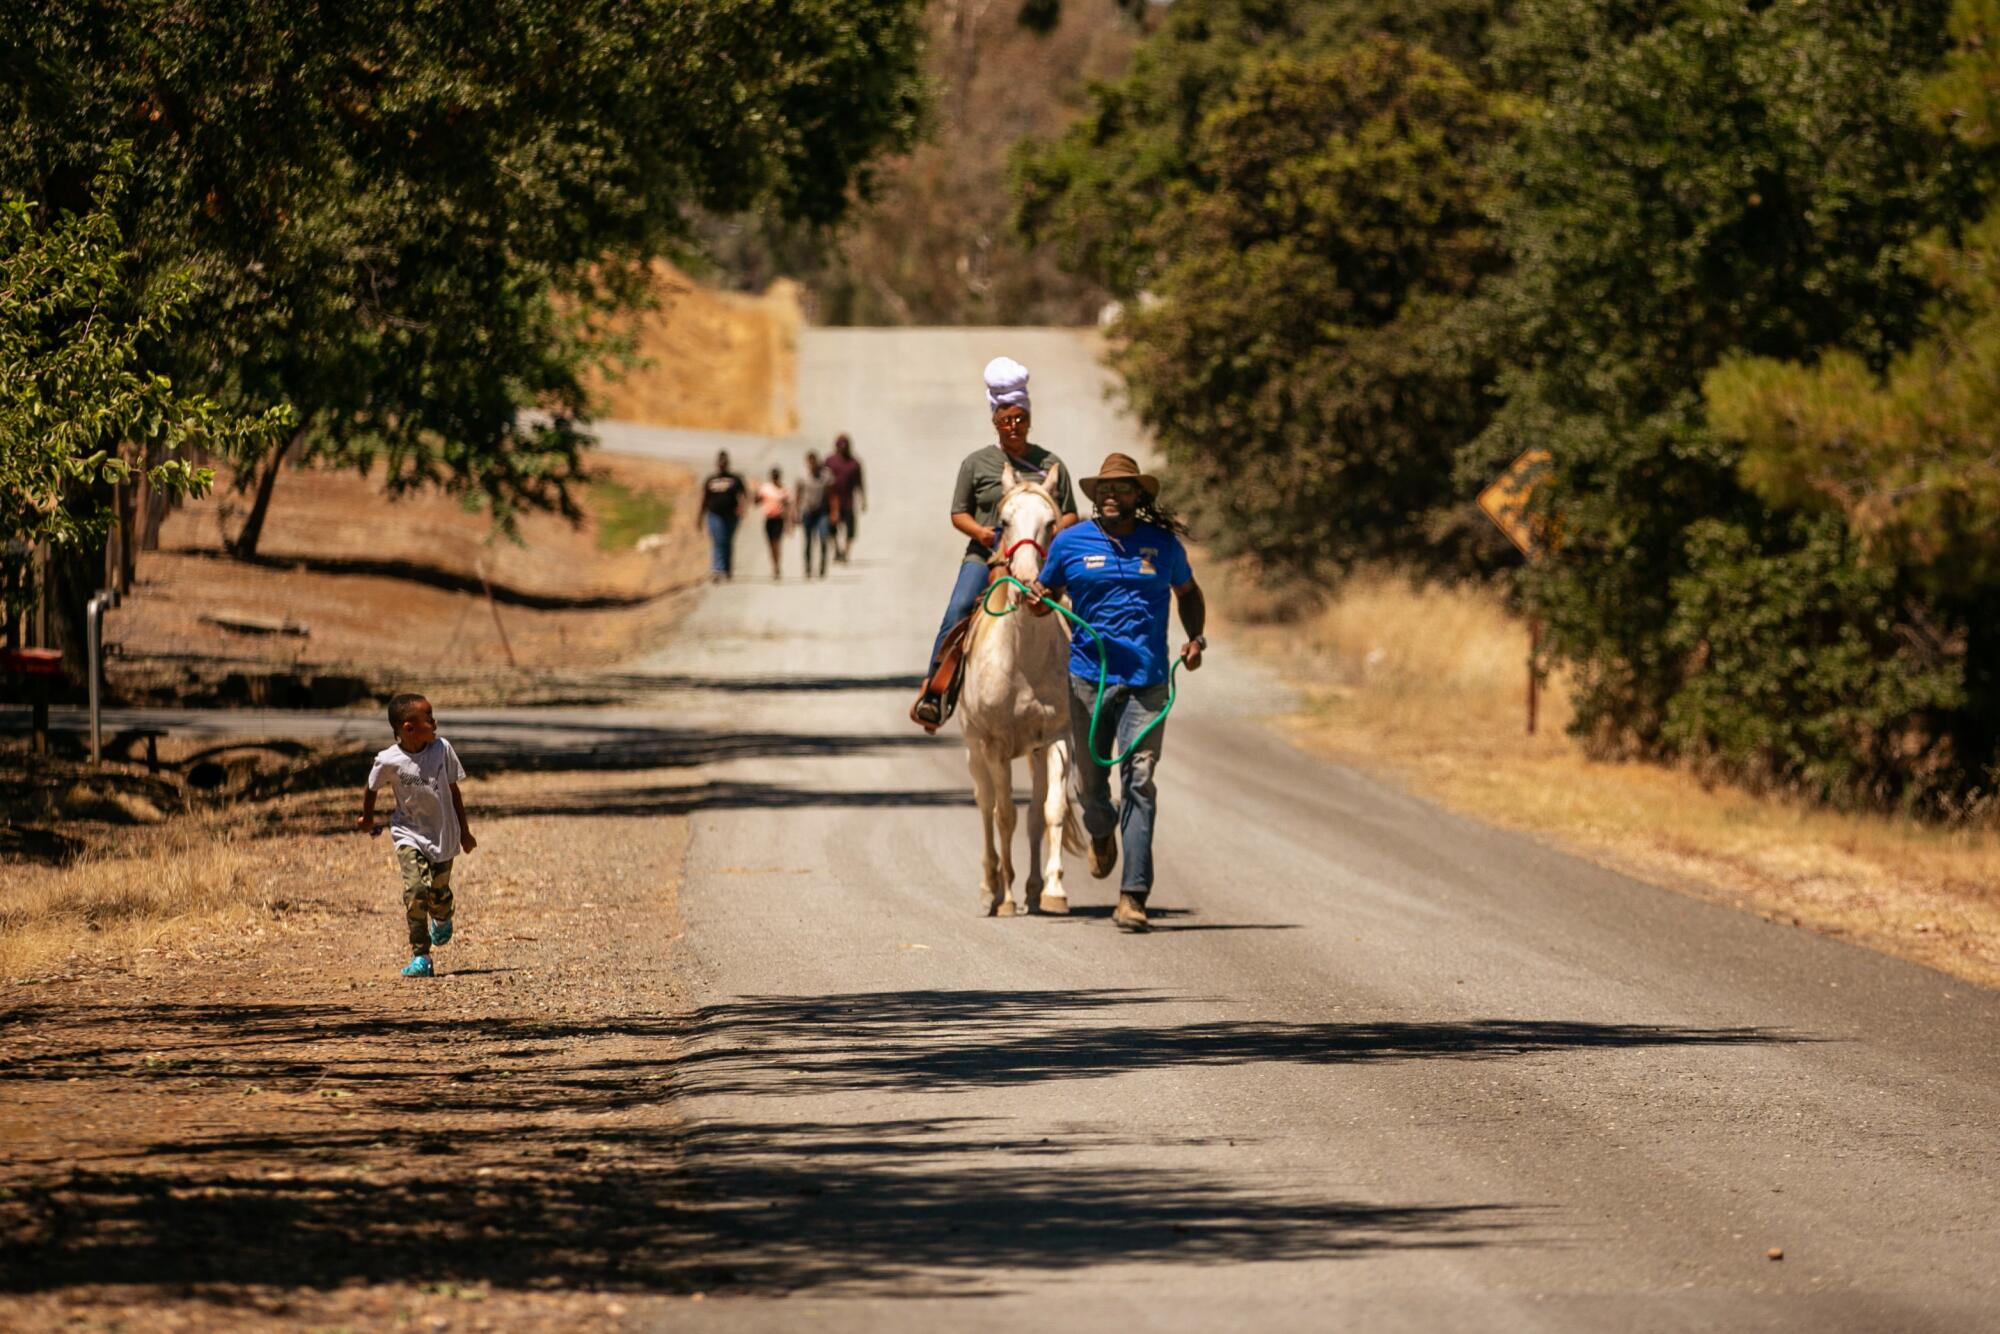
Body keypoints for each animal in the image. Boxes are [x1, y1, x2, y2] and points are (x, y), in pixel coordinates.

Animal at [960, 464, 1088, 912]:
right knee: (985, 805)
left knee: (1033, 812)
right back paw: (990, 887)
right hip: (974, 746)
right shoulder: (996, 744)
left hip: (1032, 752)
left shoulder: (1056, 737)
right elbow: (1004, 816)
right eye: (1004, 520)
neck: (1022, 661)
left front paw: (1053, 890)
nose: (1030, 586)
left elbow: (1049, 811)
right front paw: (1005, 897)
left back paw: (1032, 887)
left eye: (1051, 522)